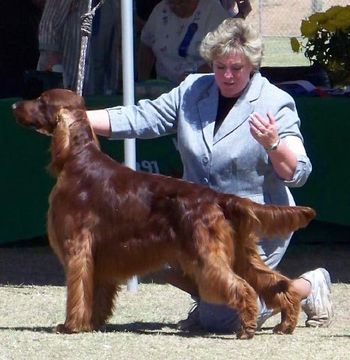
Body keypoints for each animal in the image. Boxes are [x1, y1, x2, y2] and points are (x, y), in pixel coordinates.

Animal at [12, 88, 316, 338]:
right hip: (240, 253)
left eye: (41, 100)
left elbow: (77, 290)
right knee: (276, 283)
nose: (14, 104)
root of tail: (218, 197)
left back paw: (247, 329)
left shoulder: (77, 247)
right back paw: (286, 323)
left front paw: (71, 326)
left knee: (242, 287)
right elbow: (95, 293)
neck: (77, 159)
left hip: (206, 257)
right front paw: (93, 323)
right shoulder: (100, 255)